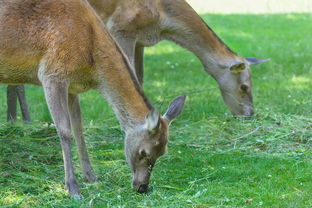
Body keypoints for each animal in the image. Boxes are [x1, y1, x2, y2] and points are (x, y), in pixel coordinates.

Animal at [0, 0, 185, 198]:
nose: (142, 187)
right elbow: (64, 131)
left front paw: (92, 177)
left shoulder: (72, 87)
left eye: (163, 152)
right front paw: (73, 188)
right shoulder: (52, 74)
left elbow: (79, 130)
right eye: (144, 152)